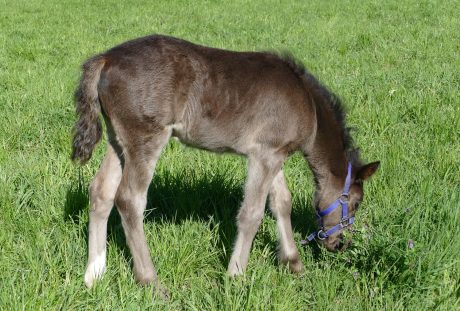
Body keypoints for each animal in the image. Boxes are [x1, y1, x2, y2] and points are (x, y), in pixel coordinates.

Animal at [72, 35, 380, 292]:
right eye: (355, 203)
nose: (339, 243)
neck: (309, 105)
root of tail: (106, 58)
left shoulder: (273, 154)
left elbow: (282, 202)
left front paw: (293, 263)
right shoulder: (265, 155)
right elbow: (252, 213)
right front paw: (236, 275)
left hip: (118, 140)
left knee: (101, 191)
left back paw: (94, 274)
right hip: (146, 138)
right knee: (129, 199)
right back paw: (151, 280)